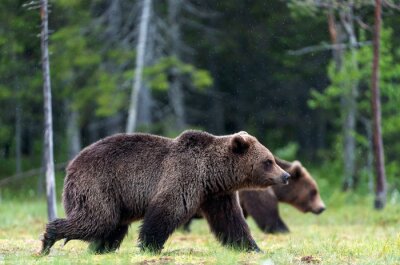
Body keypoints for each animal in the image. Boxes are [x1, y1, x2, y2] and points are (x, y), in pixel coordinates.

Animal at [40, 130, 290, 254]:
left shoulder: (217, 195)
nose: (286, 176)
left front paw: (252, 247)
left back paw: (100, 249)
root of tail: (71, 165)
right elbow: (166, 211)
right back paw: (48, 241)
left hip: (116, 198)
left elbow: (230, 221)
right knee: (97, 219)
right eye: (268, 161)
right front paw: (149, 246)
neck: (212, 174)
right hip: (99, 184)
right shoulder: (183, 177)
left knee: (112, 226)